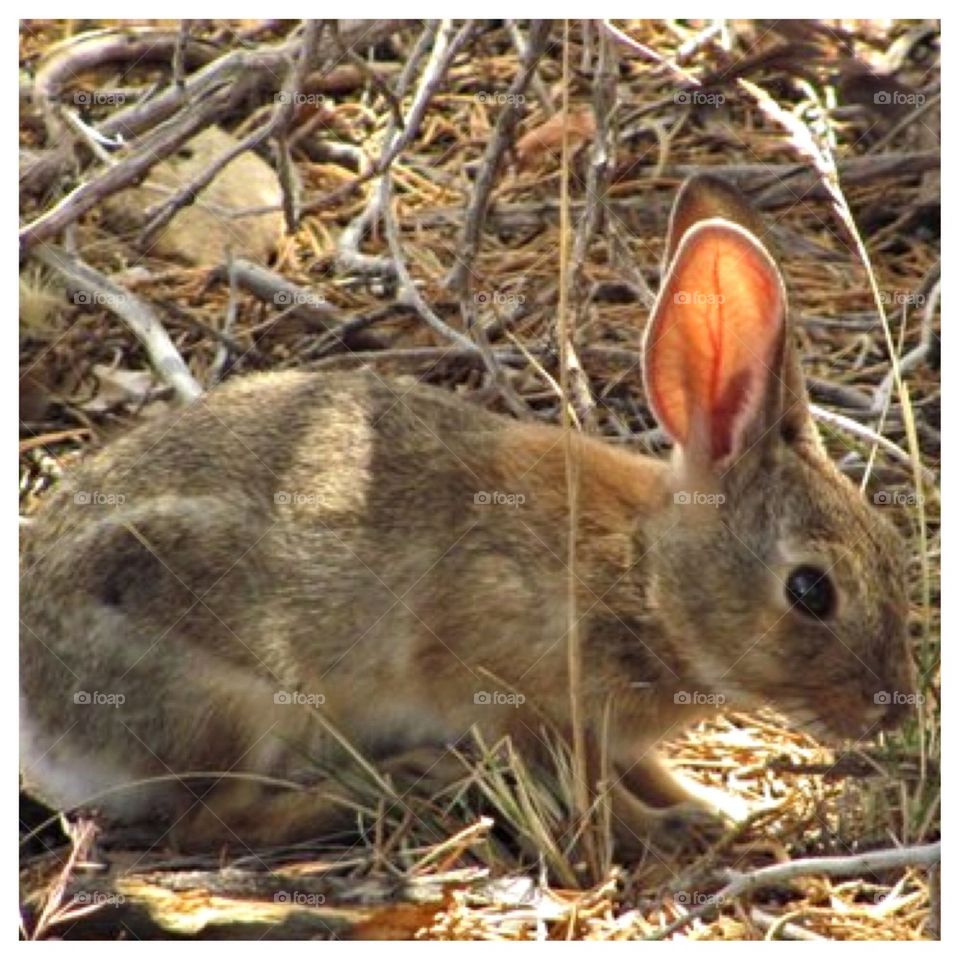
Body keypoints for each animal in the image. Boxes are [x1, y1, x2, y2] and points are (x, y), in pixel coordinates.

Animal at [20, 173, 916, 856]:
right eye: (810, 591)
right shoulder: (518, 694)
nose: (890, 710)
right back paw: (389, 790)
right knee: (208, 824)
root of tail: (35, 715)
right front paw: (676, 830)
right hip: (238, 699)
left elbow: (644, 769)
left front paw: (718, 805)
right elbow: (593, 793)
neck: (645, 576)